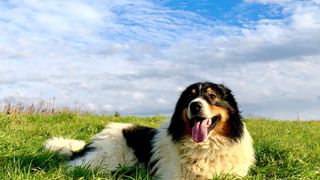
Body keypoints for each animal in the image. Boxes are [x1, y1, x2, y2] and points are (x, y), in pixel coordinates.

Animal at [45, 82, 255, 179]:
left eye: (212, 96)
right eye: (189, 97)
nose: (195, 106)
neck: (205, 146)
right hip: (105, 160)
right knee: (74, 166)